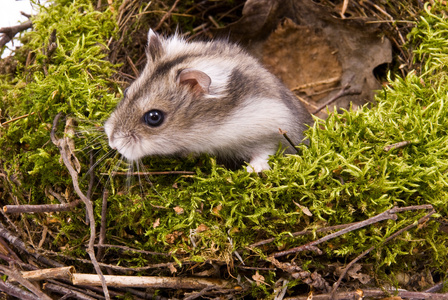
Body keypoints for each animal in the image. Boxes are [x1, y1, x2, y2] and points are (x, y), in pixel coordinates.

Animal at [104, 29, 316, 173]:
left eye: (154, 117)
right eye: (126, 91)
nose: (112, 143)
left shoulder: (275, 125)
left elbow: (266, 151)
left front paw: (252, 170)